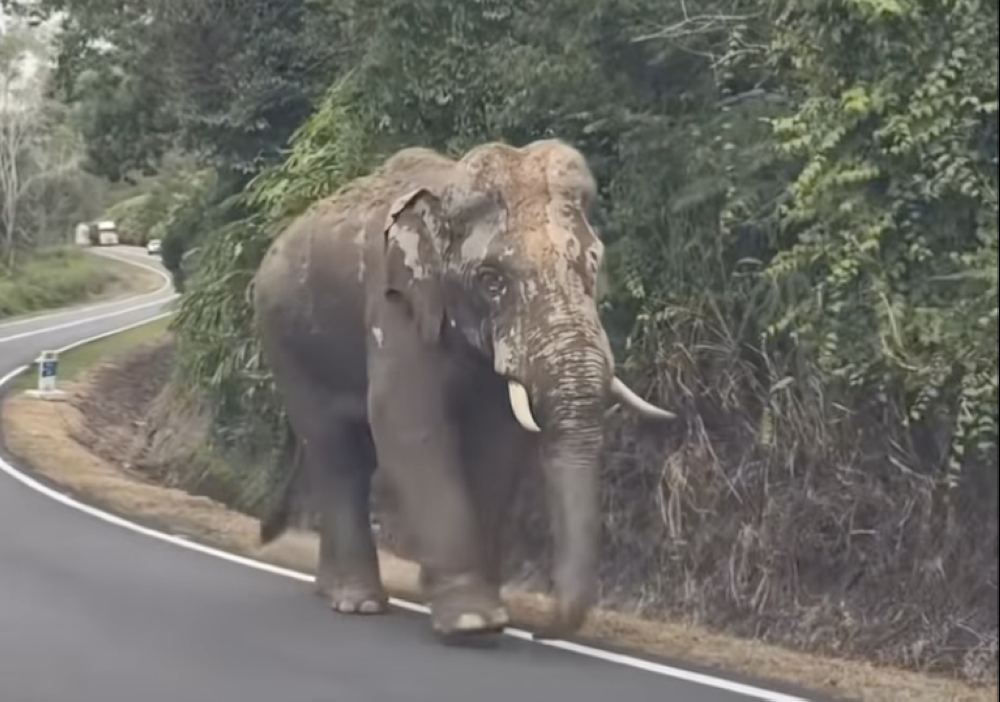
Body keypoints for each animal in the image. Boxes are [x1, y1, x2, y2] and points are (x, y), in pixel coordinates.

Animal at [251, 138, 674, 641]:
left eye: (593, 265)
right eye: (492, 281)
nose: (540, 630)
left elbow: (498, 441)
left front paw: (489, 615)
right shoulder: (395, 305)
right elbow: (409, 425)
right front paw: (473, 620)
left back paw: (334, 592)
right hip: (287, 345)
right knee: (337, 453)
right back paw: (358, 603)